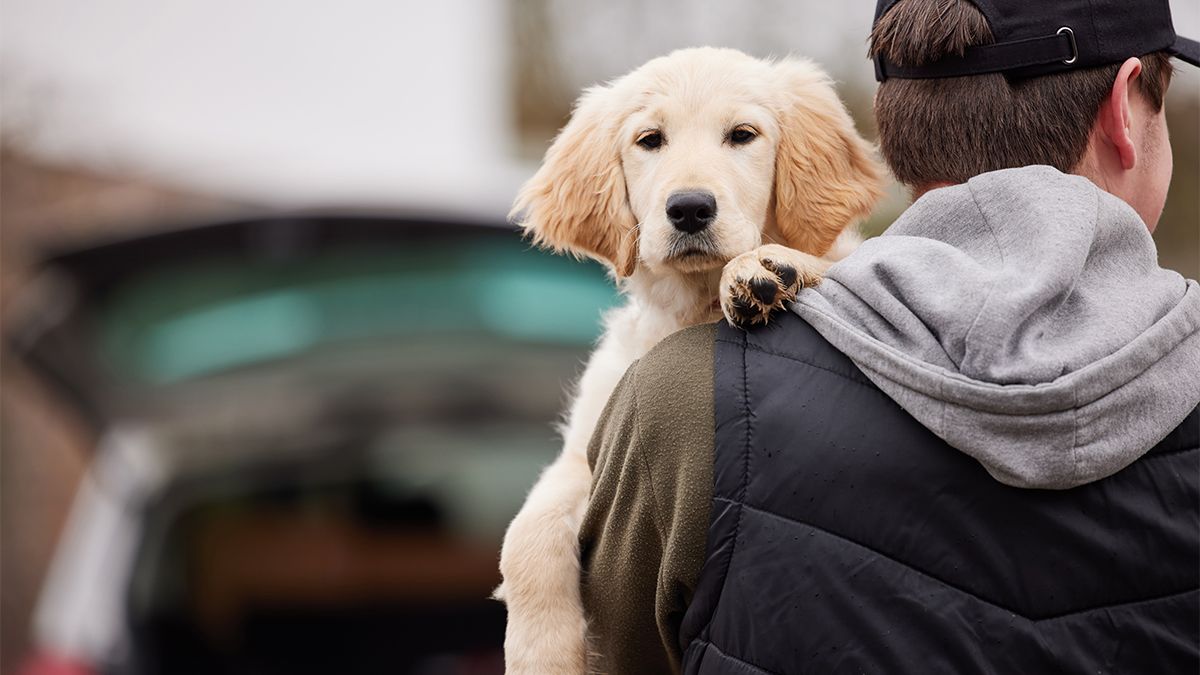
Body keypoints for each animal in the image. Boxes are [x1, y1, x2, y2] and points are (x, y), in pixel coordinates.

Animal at [494, 48, 883, 672]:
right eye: (650, 140)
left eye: (743, 135)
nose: (690, 208)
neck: (692, 306)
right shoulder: (584, 455)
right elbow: (523, 539)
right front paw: (542, 657)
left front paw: (766, 269)